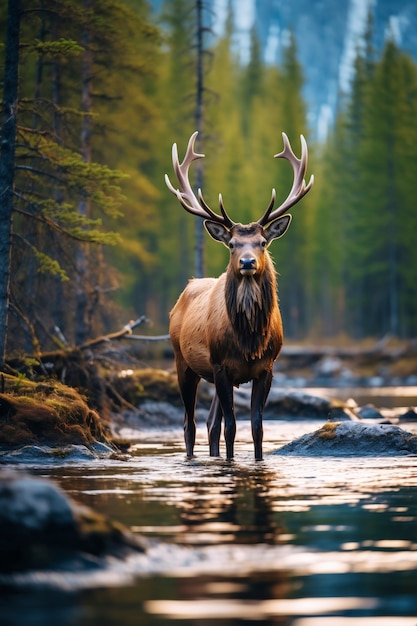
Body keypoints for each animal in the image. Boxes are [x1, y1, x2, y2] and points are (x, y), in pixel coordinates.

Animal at [165, 130, 312, 458]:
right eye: (232, 244)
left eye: (262, 242)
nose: (247, 262)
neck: (249, 340)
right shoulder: (221, 366)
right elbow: (232, 427)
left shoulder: (266, 368)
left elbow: (257, 427)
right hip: (183, 361)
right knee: (190, 423)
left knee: (210, 423)